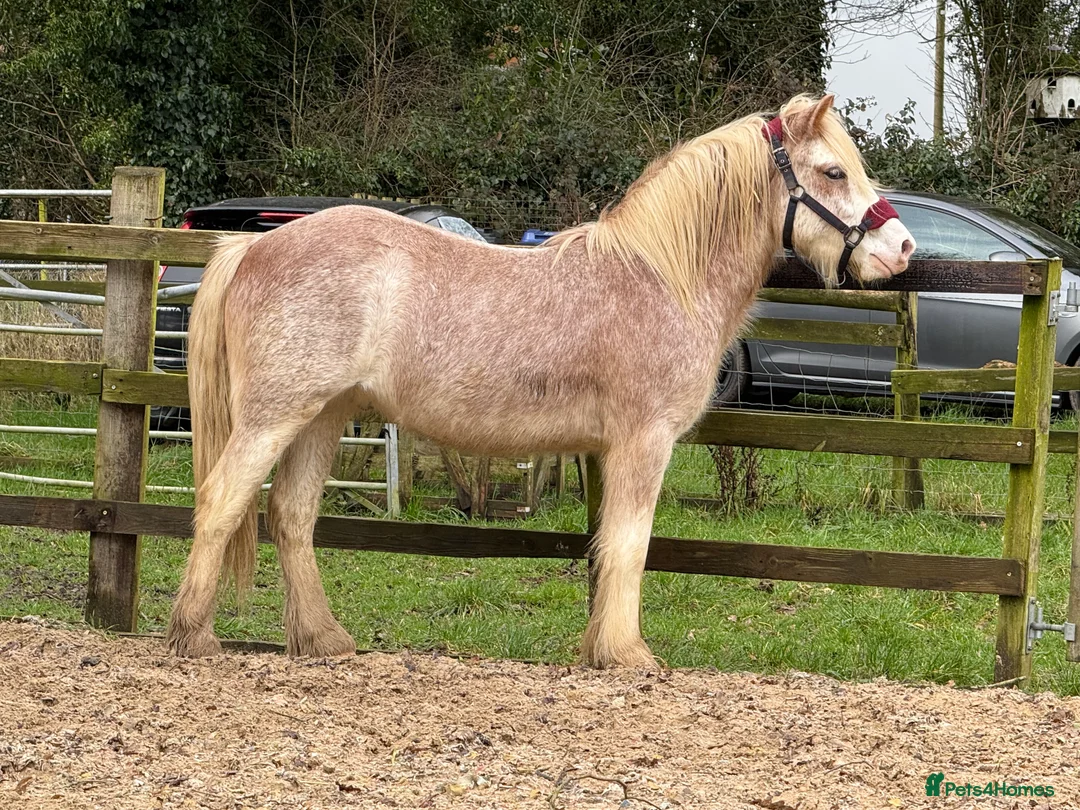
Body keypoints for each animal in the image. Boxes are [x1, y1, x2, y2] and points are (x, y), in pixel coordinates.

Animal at [165, 94, 915, 668]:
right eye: (832, 171)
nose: (903, 249)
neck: (659, 278)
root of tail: (253, 245)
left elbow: (608, 546)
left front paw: (601, 648)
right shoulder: (644, 443)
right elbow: (630, 545)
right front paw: (627, 654)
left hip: (322, 416)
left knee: (291, 516)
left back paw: (322, 639)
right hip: (274, 416)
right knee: (223, 500)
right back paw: (192, 636)